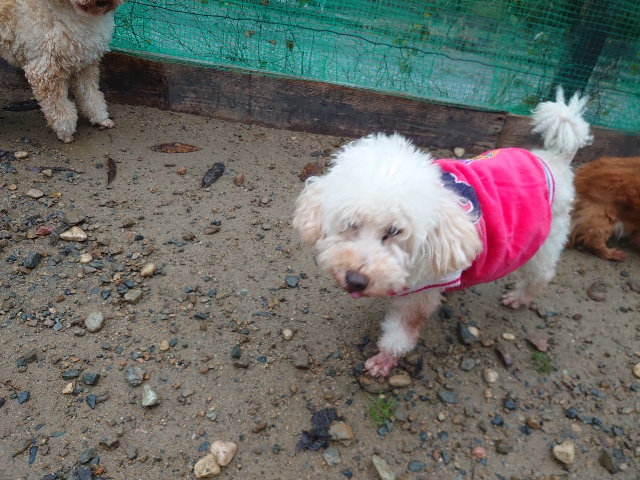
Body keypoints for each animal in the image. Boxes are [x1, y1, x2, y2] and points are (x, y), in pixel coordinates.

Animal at [0, 0, 124, 143]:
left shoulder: (85, 64)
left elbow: (90, 94)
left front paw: (100, 118)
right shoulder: (45, 71)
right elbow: (58, 107)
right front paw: (65, 131)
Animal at [293, 87, 592, 377]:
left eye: (395, 231)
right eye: (351, 223)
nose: (355, 280)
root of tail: (556, 160)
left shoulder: (421, 294)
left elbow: (400, 335)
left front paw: (383, 362)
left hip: (544, 240)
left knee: (541, 274)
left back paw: (519, 297)